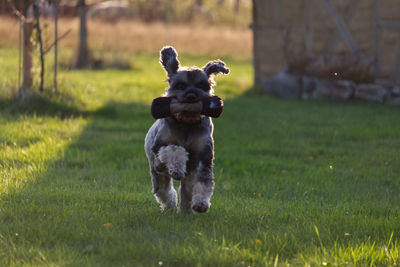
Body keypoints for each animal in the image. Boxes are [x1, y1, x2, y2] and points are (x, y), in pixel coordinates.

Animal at [145, 46, 230, 214]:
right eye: (180, 85)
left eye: (202, 85)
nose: (191, 96)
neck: (186, 123)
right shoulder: (159, 148)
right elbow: (174, 149)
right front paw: (177, 168)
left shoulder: (204, 157)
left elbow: (203, 182)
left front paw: (201, 204)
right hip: (157, 173)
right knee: (163, 189)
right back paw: (170, 206)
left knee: (186, 191)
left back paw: (185, 210)